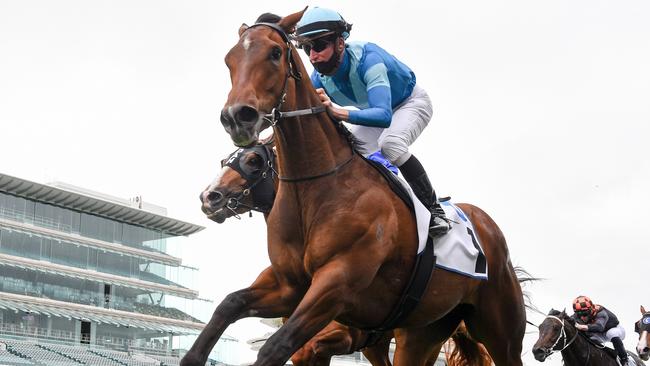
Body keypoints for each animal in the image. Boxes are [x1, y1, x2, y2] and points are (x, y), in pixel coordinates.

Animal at [180, 9, 524, 366]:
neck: (316, 191)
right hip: (423, 330)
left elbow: (275, 346)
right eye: (229, 59)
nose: (237, 116)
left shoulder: (337, 287)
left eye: (253, 161)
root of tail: (485, 224)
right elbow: (227, 306)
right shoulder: (288, 288)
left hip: (500, 330)